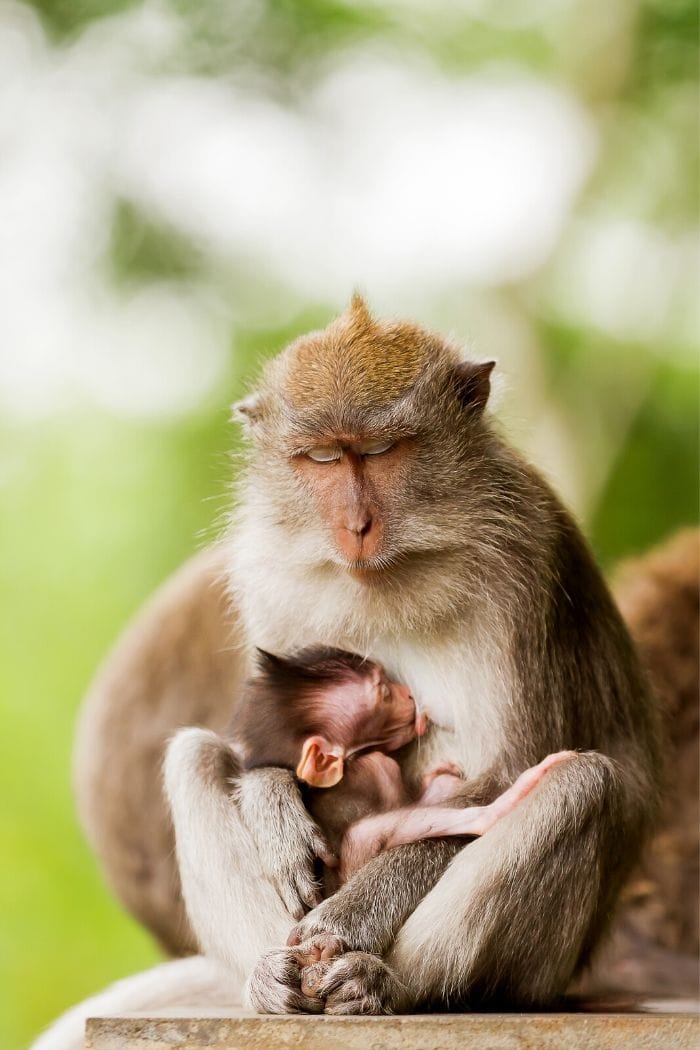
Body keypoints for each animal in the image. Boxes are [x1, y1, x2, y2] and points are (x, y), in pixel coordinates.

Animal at [69, 298, 663, 1024]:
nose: (356, 526)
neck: (394, 570)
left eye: (382, 452)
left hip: (544, 972)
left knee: (581, 783)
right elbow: (258, 737)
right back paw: (269, 981)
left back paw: (392, 983)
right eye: (322, 458)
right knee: (195, 756)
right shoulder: (270, 575)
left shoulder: (528, 565)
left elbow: (510, 771)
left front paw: (351, 917)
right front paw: (275, 808)